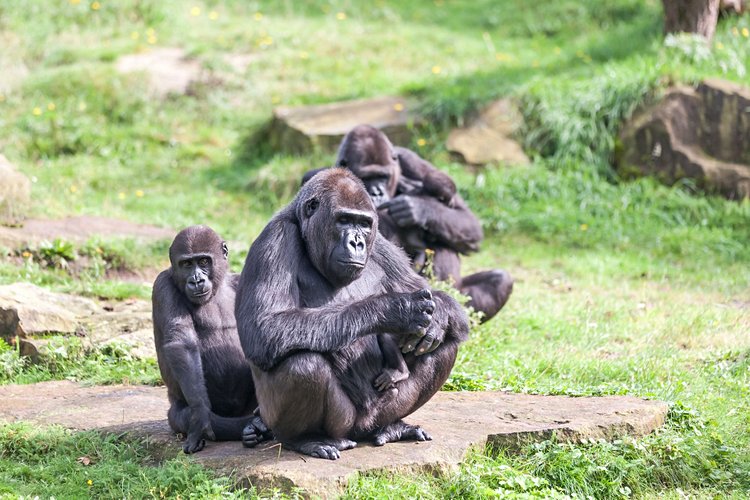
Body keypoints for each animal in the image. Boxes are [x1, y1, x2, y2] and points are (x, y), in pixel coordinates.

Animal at [151, 227, 272, 454]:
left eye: (204, 261)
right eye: (186, 264)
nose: (196, 280)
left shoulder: (240, 279)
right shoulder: (162, 285)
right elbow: (182, 343)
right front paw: (199, 416)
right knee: (181, 416)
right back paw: (249, 429)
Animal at [236, 169, 470, 460]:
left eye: (364, 224)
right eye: (344, 220)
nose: (357, 242)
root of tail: (362, 430)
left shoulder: (381, 242)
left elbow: (437, 298)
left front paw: (437, 319)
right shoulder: (275, 238)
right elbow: (264, 328)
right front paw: (395, 308)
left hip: (381, 410)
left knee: (444, 346)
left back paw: (393, 425)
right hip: (343, 424)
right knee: (302, 363)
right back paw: (306, 439)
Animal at [306, 124, 516, 320]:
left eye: (383, 176)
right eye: (366, 178)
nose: (376, 193)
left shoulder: (409, 159)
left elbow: (469, 222)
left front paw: (418, 207)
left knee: (498, 279)